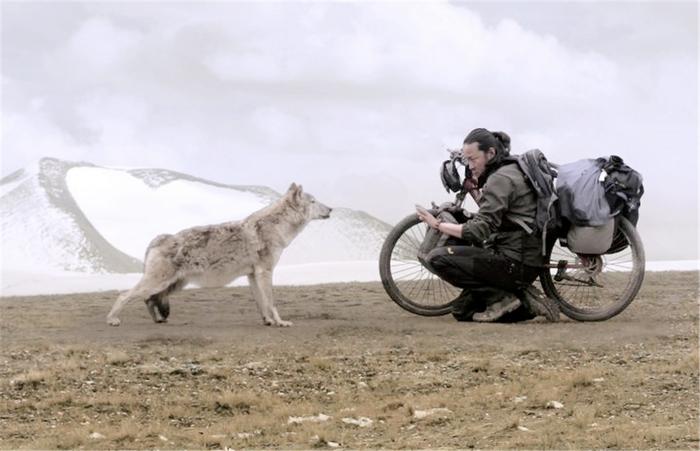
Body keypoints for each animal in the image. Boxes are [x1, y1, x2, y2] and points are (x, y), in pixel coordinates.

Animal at [105, 184, 332, 328]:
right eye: (313, 201)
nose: (331, 208)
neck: (276, 226)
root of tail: (158, 238)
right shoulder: (265, 272)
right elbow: (271, 302)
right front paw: (280, 322)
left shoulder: (252, 275)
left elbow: (262, 303)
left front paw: (268, 321)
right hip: (160, 283)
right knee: (124, 295)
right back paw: (112, 320)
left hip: (172, 285)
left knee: (148, 299)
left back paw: (158, 320)